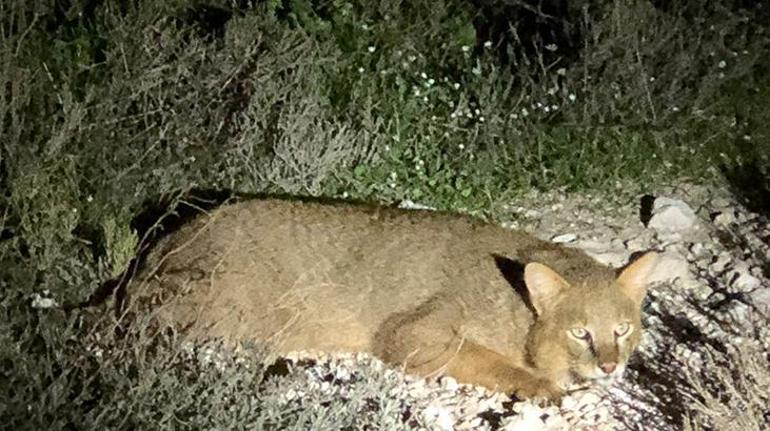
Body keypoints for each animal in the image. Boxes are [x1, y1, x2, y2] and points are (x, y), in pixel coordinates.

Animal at [126, 199, 656, 402]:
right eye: (580, 332)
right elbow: (489, 361)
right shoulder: (413, 333)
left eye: (623, 329)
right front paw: (540, 385)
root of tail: (166, 238)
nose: (610, 366)